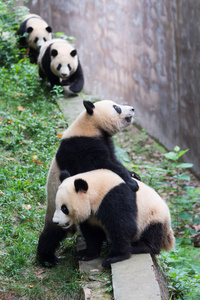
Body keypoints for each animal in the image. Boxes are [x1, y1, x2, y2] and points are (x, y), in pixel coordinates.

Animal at [37, 99, 141, 266]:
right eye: (117, 107)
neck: (90, 125)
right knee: (52, 234)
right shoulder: (81, 146)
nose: (132, 108)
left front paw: (133, 174)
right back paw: (47, 259)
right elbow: (102, 165)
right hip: (58, 210)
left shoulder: (104, 142)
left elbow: (113, 160)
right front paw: (131, 183)